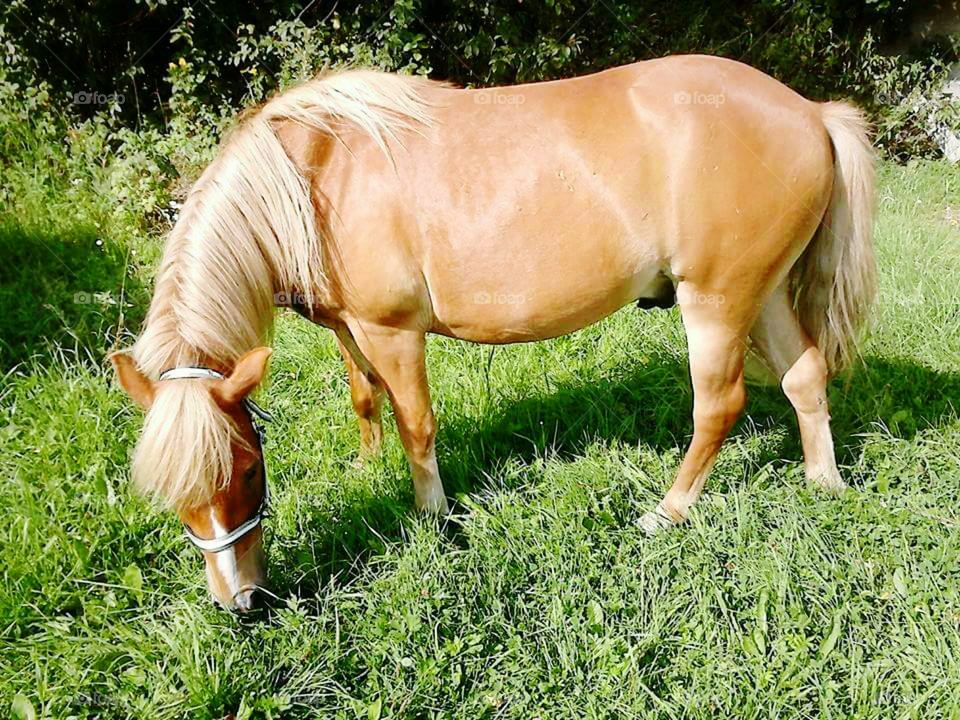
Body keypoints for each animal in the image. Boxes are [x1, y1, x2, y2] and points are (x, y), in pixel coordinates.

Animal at [110, 54, 875, 611]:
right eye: (173, 493)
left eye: (245, 471)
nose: (239, 603)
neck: (314, 173)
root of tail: (811, 112)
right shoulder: (348, 329)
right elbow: (364, 397)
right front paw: (365, 466)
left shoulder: (392, 330)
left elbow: (416, 424)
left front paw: (433, 519)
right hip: (762, 292)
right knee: (805, 376)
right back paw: (824, 483)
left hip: (717, 301)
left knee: (719, 406)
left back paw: (666, 512)